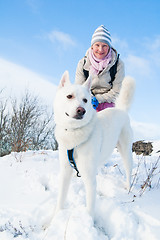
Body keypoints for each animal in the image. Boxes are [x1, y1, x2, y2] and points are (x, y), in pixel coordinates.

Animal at [53, 71, 135, 218]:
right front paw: (55, 218)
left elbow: (90, 208)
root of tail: (122, 110)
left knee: (128, 170)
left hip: (126, 152)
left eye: (86, 100)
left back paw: (128, 186)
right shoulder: (65, 172)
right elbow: (61, 199)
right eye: (69, 96)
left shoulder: (90, 180)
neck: (74, 132)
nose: (81, 110)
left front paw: (89, 221)